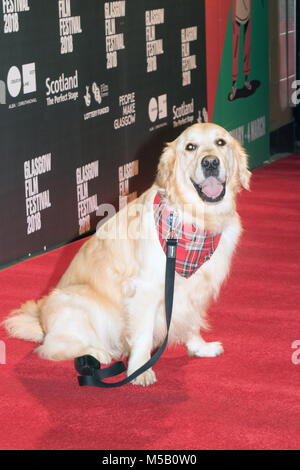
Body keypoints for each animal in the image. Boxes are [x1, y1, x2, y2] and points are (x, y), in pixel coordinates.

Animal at [4, 123, 251, 384]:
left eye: (221, 142)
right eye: (190, 147)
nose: (210, 163)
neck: (196, 219)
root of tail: (42, 324)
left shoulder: (195, 288)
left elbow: (191, 321)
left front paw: (198, 347)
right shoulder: (146, 289)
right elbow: (142, 334)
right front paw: (140, 369)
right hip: (77, 301)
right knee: (52, 347)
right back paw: (97, 352)